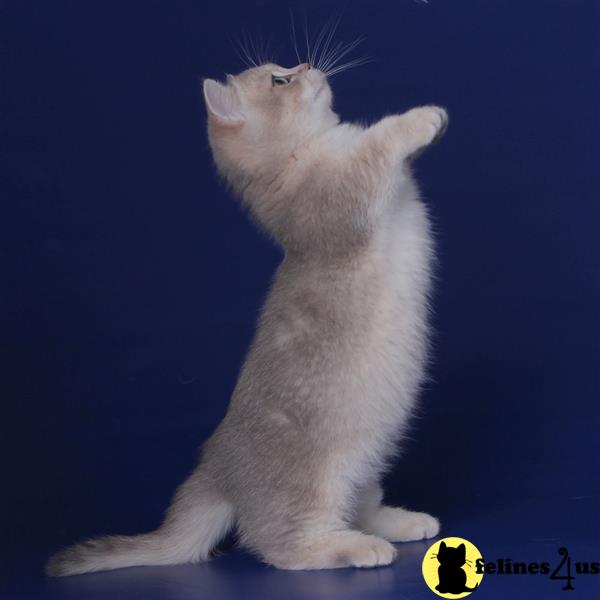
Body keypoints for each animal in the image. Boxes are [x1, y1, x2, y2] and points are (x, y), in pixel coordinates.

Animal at [45, 57, 446, 576]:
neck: (300, 161)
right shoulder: (343, 191)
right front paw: (421, 120)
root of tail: (217, 472)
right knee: (283, 546)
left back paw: (399, 522)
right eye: (280, 80)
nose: (308, 64)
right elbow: (377, 144)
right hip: (317, 482)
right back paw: (358, 548)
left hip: (367, 456)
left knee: (358, 505)